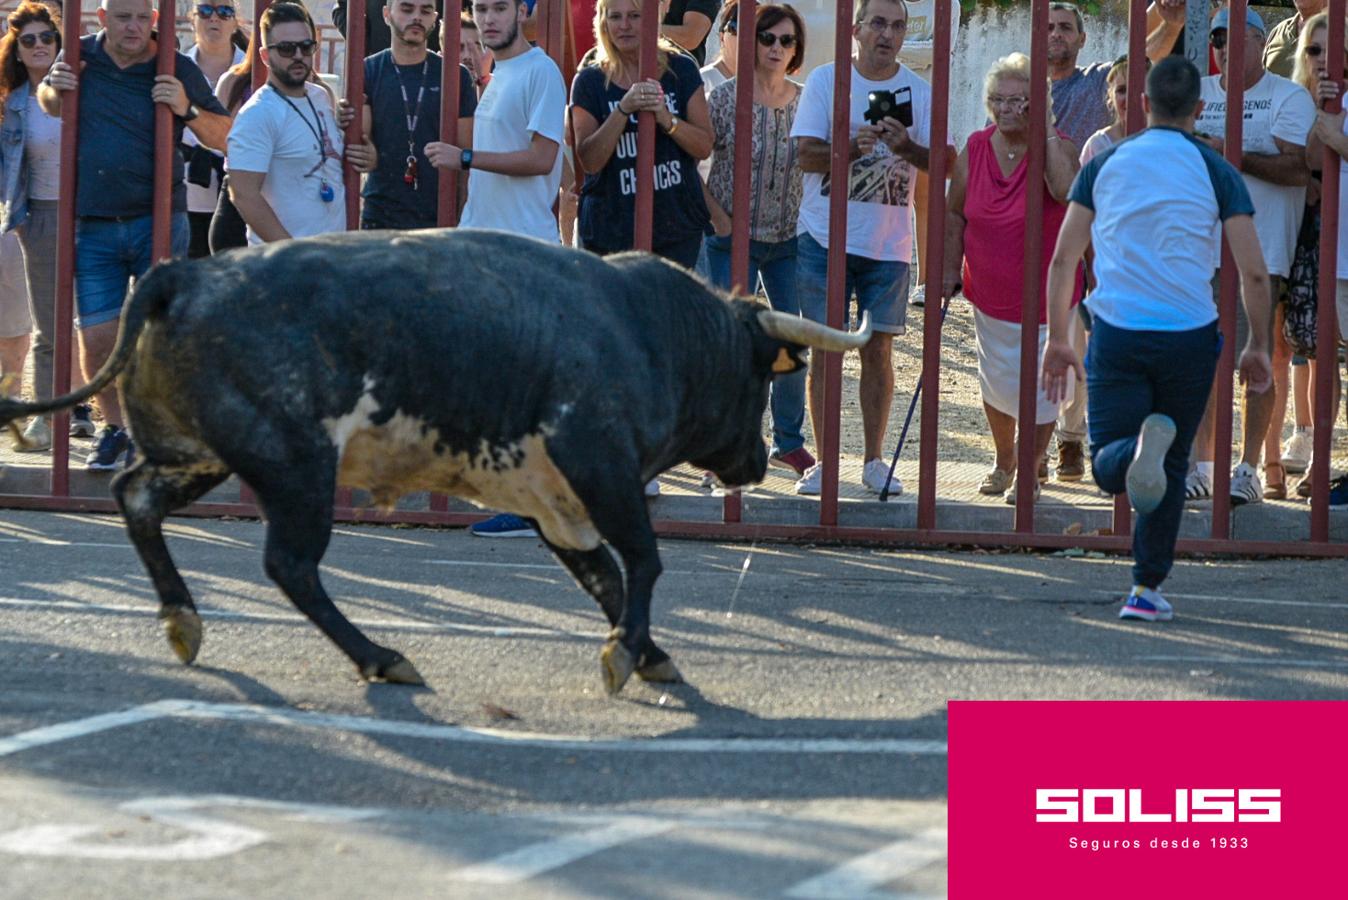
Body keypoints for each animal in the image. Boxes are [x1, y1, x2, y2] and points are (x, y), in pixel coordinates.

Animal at [2, 231, 873, 695]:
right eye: (763, 375)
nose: (756, 461)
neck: (650, 326)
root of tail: (183, 272)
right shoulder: (599, 464)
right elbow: (646, 563)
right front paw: (626, 656)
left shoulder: (553, 500)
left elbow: (607, 577)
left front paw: (649, 652)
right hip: (295, 466)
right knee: (291, 564)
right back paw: (382, 658)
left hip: (197, 453)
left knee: (137, 498)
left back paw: (183, 621)